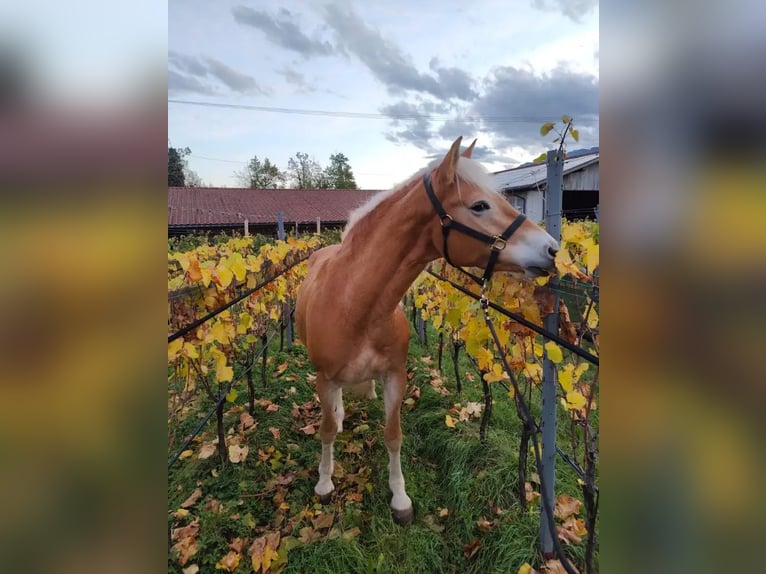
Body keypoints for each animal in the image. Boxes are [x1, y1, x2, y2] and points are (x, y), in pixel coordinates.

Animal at [294, 136, 560, 528]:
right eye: (479, 205)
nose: (552, 249)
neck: (356, 304)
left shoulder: (395, 377)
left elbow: (393, 436)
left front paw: (400, 498)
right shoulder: (325, 378)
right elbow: (326, 430)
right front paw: (325, 483)